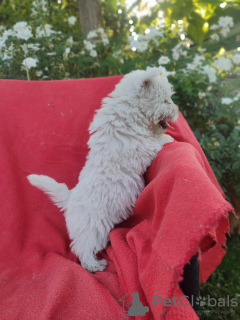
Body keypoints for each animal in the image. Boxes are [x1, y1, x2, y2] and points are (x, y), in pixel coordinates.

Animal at [28, 66, 178, 272]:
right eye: (165, 100)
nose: (176, 111)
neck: (130, 113)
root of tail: (70, 199)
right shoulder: (138, 148)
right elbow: (155, 143)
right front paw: (169, 139)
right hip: (93, 228)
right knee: (83, 248)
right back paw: (95, 265)